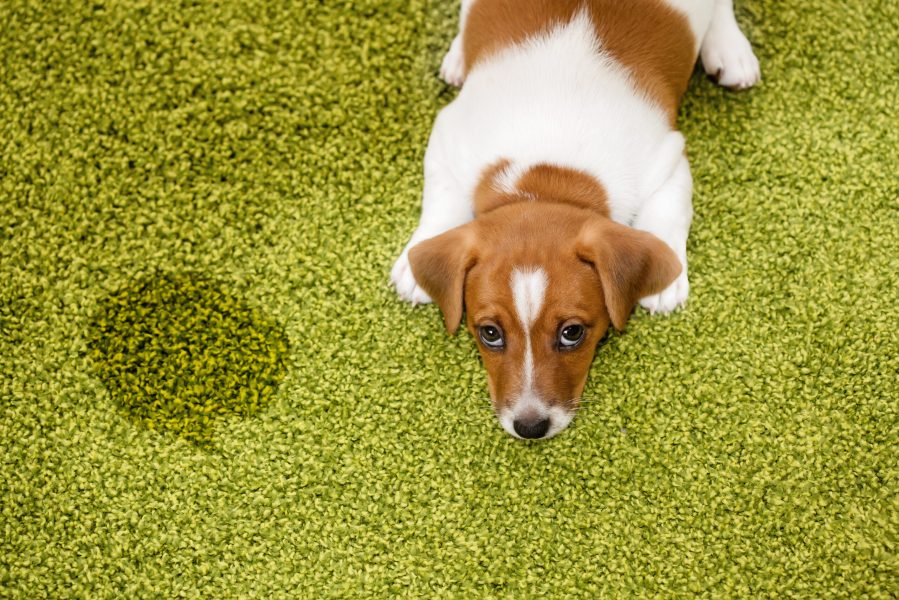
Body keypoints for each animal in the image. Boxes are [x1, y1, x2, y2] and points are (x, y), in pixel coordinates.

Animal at [392, 0, 760, 440]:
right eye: (489, 333)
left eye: (572, 333)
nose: (530, 427)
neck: (547, 176)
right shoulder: (448, 137)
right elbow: (441, 200)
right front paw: (415, 265)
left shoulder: (667, 158)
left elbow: (669, 214)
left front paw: (666, 278)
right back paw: (457, 57)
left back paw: (730, 48)